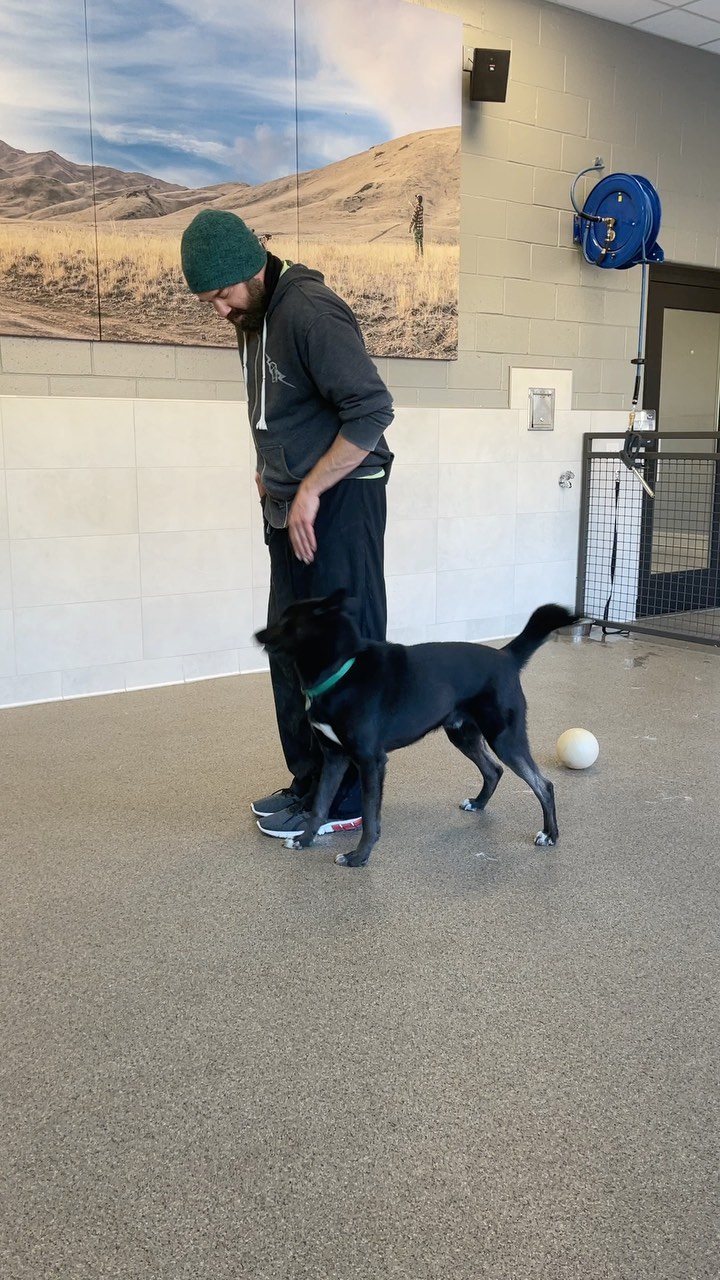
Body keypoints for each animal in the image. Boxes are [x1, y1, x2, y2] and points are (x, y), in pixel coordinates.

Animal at [254, 588, 579, 870]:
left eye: (288, 620)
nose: (257, 634)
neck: (342, 670)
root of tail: (506, 657)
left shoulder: (370, 762)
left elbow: (370, 818)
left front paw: (359, 857)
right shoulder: (335, 758)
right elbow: (320, 804)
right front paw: (304, 839)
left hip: (505, 739)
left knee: (543, 784)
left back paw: (550, 834)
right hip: (463, 734)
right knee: (493, 770)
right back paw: (478, 803)